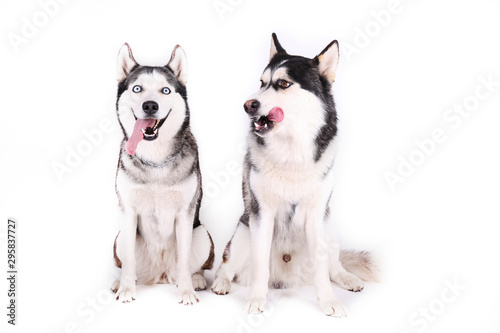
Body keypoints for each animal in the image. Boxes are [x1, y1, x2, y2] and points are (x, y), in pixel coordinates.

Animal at [110, 42, 214, 304]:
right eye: (137, 88)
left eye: (165, 90)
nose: (150, 105)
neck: (155, 160)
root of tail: (161, 274)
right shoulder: (128, 212)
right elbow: (128, 262)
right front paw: (126, 289)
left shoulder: (185, 214)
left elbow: (185, 260)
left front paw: (186, 292)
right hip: (120, 237)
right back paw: (119, 283)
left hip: (201, 233)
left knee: (195, 266)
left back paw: (196, 280)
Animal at [209, 34, 376, 316]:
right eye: (262, 83)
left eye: (283, 83)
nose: (248, 105)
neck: (291, 153)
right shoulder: (262, 214)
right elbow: (260, 264)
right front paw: (257, 298)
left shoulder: (318, 214)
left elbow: (322, 268)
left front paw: (329, 301)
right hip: (243, 233)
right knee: (227, 265)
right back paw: (221, 282)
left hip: (329, 230)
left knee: (333, 265)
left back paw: (347, 277)